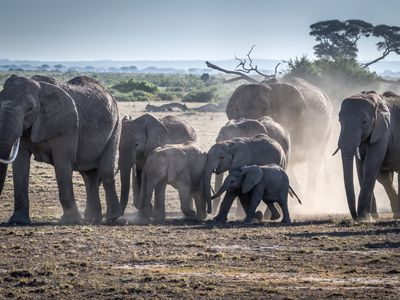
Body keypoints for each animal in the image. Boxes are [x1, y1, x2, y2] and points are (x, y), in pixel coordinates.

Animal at [0, 75, 122, 225]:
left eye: (30, 108)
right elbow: (20, 165)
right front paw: (18, 221)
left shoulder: (67, 127)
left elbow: (62, 164)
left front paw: (71, 221)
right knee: (89, 175)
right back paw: (92, 218)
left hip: (116, 126)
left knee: (105, 170)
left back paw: (112, 218)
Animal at [338, 91, 400, 220]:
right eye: (339, 120)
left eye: (364, 122)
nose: (355, 216)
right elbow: (360, 167)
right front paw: (371, 217)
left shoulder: (383, 132)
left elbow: (370, 164)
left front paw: (364, 219)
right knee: (384, 179)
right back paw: (396, 214)